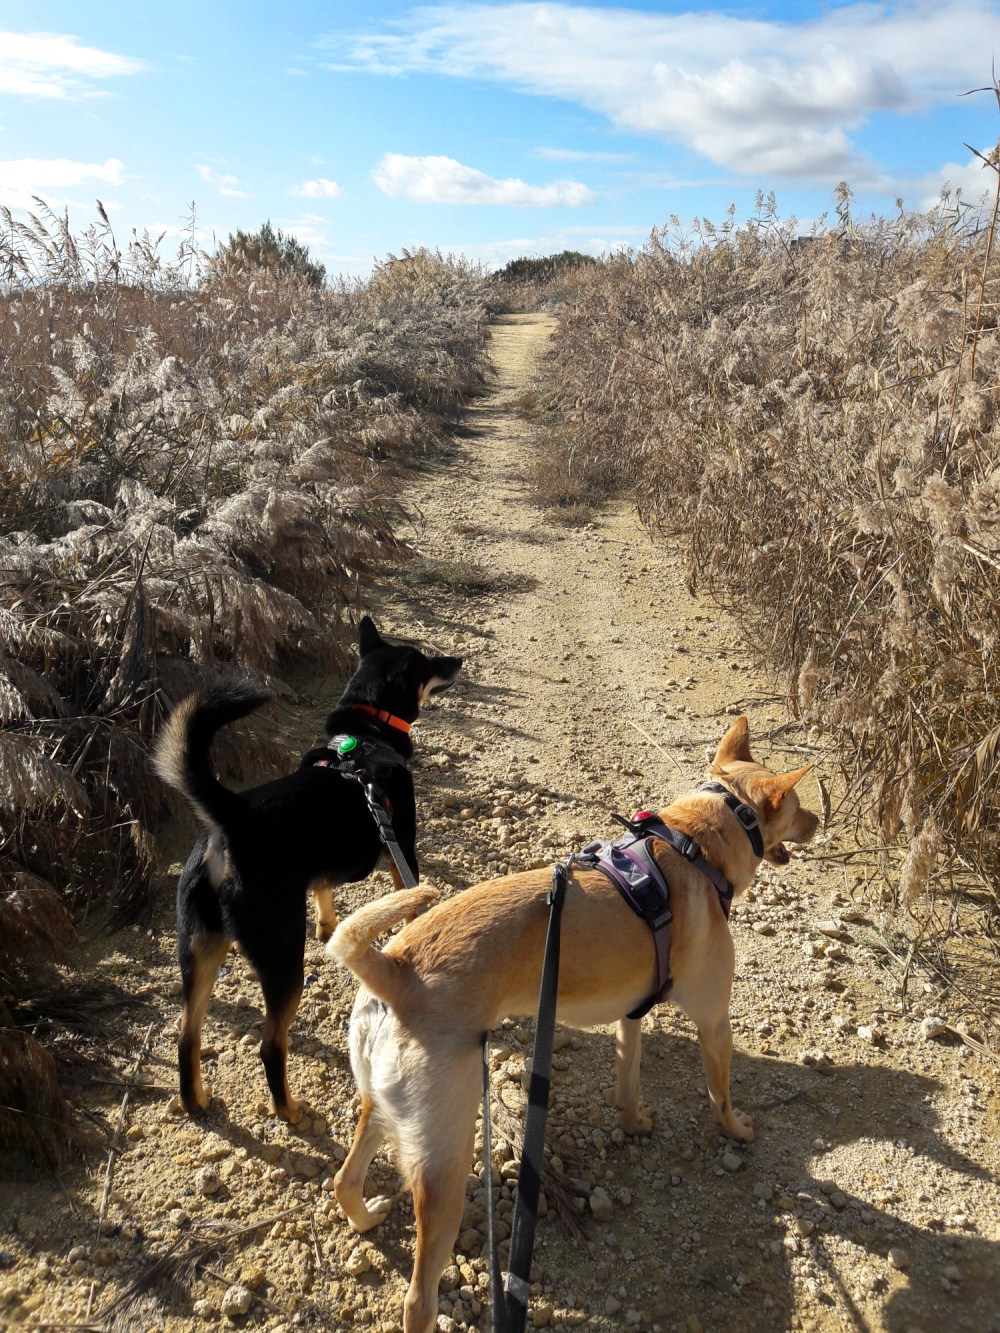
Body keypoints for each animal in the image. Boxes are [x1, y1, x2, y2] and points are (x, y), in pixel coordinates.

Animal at [153, 615, 461, 1122]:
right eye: (427, 662)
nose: (457, 660)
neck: (367, 733)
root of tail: (233, 820)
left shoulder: (321, 874)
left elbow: (324, 890)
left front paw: (328, 925)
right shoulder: (402, 849)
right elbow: (411, 900)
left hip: (198, 949)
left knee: (186, 1035)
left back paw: (194, 1100)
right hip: (281, 957)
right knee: (269, 1046)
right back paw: (289, 1109)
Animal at [328, 716, 819, 1331]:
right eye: (798, 806)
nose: (820, 822)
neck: (696, 842)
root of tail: (396, 968)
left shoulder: (632, 1016)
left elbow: (629, 1082)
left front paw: (634, 1122)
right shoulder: (714, 1022)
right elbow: (721, 1095)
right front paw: (737, 1131)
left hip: (383, 1108)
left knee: (343, 1179)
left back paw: (365, 1217)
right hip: (447, 1158)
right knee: (418, 1297)